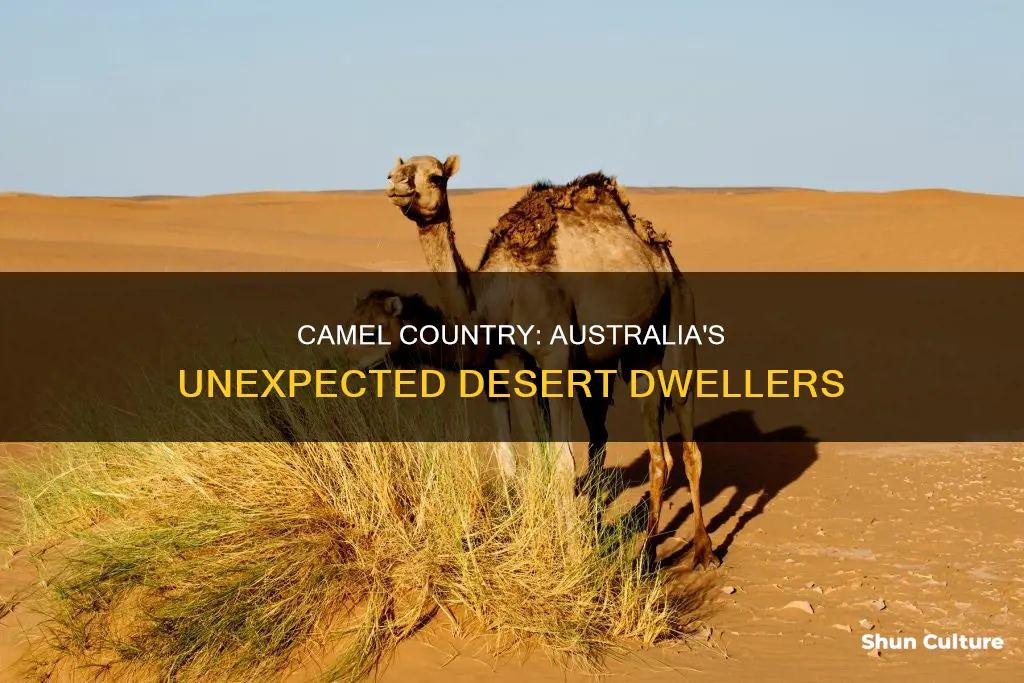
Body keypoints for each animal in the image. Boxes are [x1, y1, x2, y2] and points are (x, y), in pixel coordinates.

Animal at [382, 155, 718, 569]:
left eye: (435, 177)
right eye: (395, 170)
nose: (398, 184)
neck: (497, 297)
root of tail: (662, 252)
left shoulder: (556, 359)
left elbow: (562, 463)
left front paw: (573, 554)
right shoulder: (514, 362)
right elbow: (534, 456)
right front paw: (548, 540)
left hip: (678, 311)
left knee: (688, 442)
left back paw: (703, 551)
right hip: (633, 355)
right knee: (650, 452)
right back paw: (646, 555)